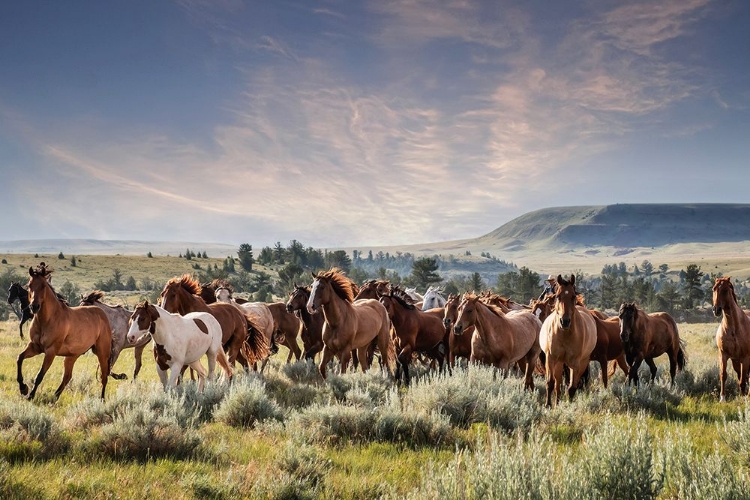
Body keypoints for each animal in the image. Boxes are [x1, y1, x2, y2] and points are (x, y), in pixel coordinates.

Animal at [17, 265, 112, 400]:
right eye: (29, 285)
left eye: (43, 285)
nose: (34, 307)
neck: (47, 320)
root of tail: (102, 313)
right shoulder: (34, 347)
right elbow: (19, 358)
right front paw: (23, 388)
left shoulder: (50, 351)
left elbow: (40, 375)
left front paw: (30, 395)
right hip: (72, 356)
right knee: (67, 377)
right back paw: (54, 397)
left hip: (102, 353)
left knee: (104, 377)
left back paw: (102, 400)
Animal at [540, 274, 597, 407]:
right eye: (557, 296)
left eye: (573, 296)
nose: (564, 321)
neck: (564, 334)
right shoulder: (551, 358)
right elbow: (550, 383)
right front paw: (548, 405)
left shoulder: (575, 363)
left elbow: (571, 388)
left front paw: (569, 407)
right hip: (559, 363)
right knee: (557, 384)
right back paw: (556, 402)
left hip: (581, 363)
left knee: (573, 384)